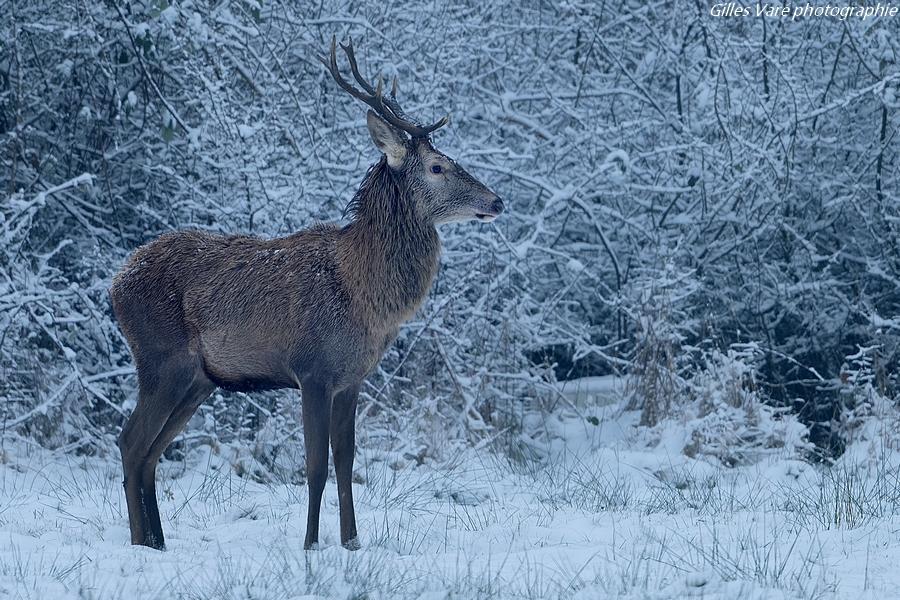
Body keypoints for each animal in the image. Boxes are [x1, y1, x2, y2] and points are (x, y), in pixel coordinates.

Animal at [109, 37, 502, 552]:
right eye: (438, 166)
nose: (497, 200)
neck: (364, 296)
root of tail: (116, 284)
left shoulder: (351, 379)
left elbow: (347, 464)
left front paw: (352, 543)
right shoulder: (312, 369)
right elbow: (315, 467)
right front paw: (312, 544)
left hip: (198, 380)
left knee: (151, 451)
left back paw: (157, 541)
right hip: (161, 358)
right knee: (131, 441)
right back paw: (140, 542)